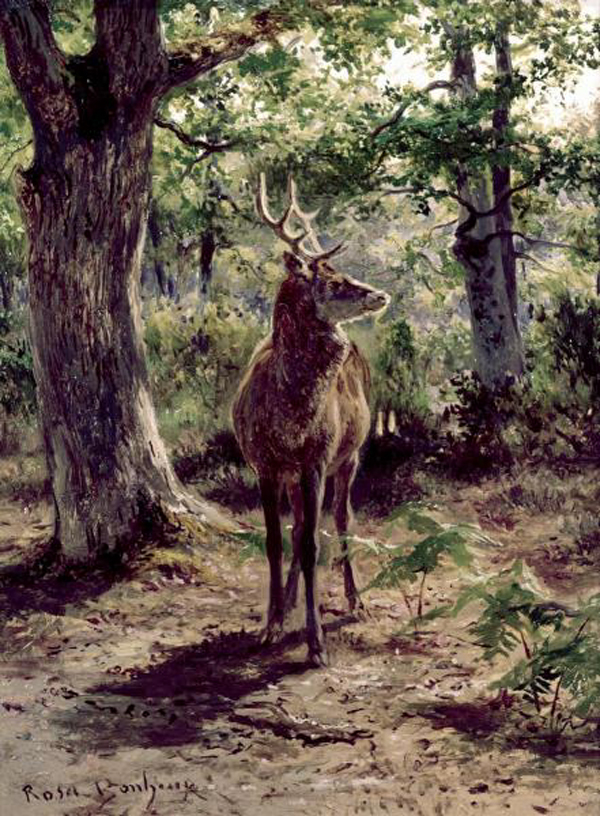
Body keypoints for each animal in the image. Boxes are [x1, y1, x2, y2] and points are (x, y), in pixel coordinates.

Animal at [232, 173, 389, 667]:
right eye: (333, 280)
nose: (380, 294)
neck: (290, 417)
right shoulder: (265, 464)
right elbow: (276, 540)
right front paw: (270, 624)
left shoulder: (317, 457)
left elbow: (314, 543)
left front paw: (316, 642)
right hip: (297, 472)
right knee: (302, 525)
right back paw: (290, 604)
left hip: (351, 456)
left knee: (341, 520)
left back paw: (356, 602)